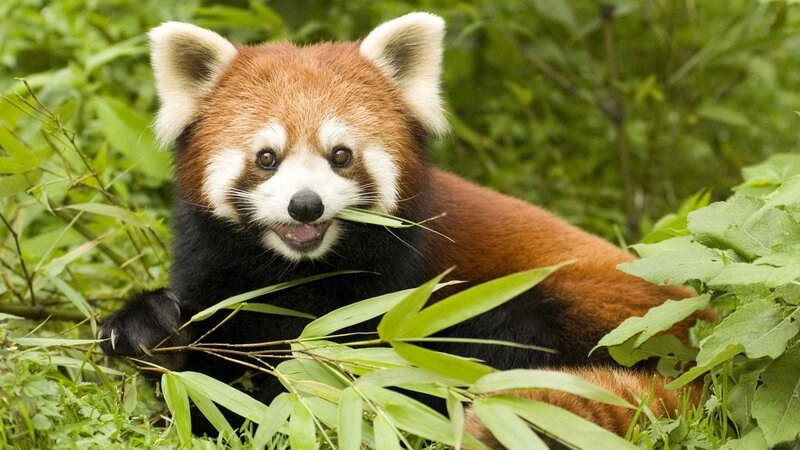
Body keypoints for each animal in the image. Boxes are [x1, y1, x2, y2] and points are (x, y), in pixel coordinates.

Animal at [100, 12, 702, 447]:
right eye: (266, 158)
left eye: (340, 155)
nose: (305, 206)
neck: (297, 273)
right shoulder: (216, 265)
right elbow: (208, 354)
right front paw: (156, 334)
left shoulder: (399, 282)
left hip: (591, 312)